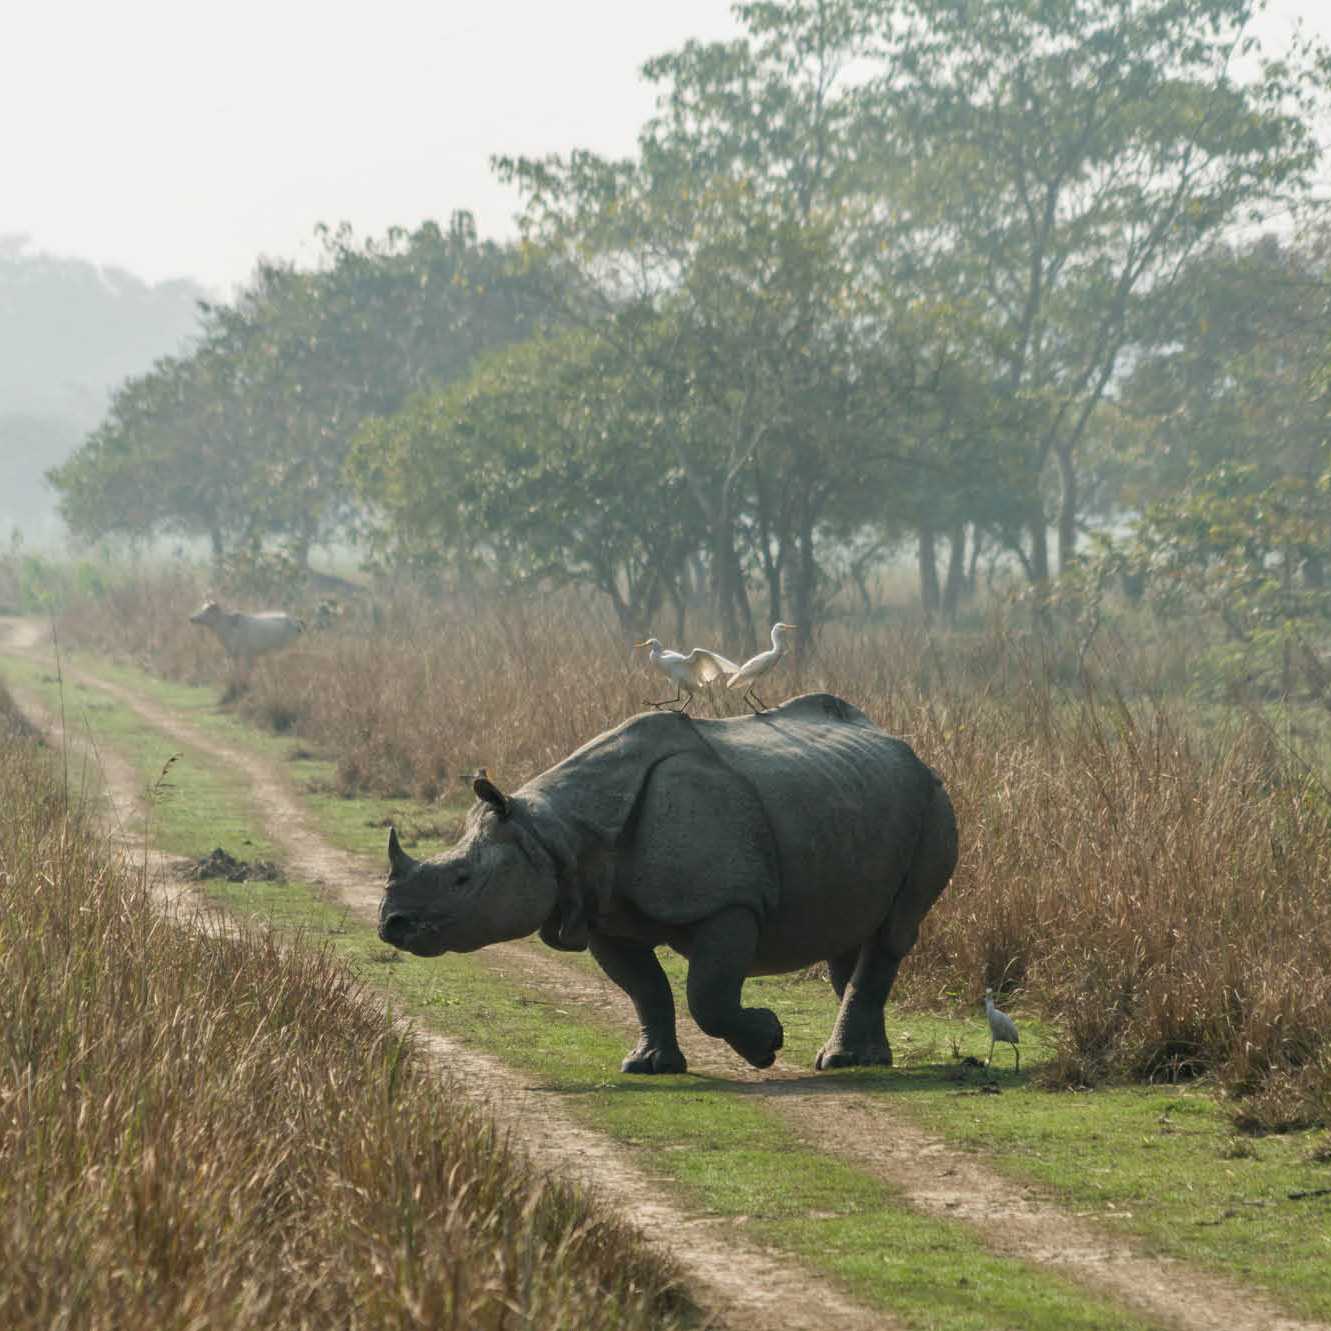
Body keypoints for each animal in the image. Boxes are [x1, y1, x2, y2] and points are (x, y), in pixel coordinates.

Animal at [378, 693, 957, 1074]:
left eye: (462, 879)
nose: (391, 925)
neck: (551, 833)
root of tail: (906, 746)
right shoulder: (601, 913)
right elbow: (645, 989)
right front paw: (649, 1065)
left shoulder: (729, 901)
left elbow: (707, 994)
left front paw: (766, 1043)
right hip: (856, 798)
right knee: (854, 933)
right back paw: (863, 1059)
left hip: (934, 798)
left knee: (893, 930)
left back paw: (842, 1061)